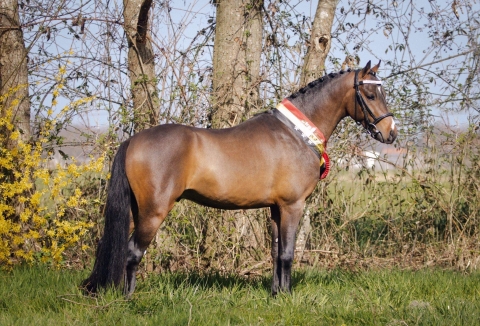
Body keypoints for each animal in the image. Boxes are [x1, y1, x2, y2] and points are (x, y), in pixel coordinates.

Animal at [81, 59, 398, 296]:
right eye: (370, 95)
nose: (391, 132)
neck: (295, 133)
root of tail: (133, 140)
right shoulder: (292, 206)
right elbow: (288, 254)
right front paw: (287, 296)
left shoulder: (276, 209)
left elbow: (275, 252)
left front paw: (276, 294)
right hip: (153, 212)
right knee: (133, 252)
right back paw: (128, 298)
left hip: (135, 210)